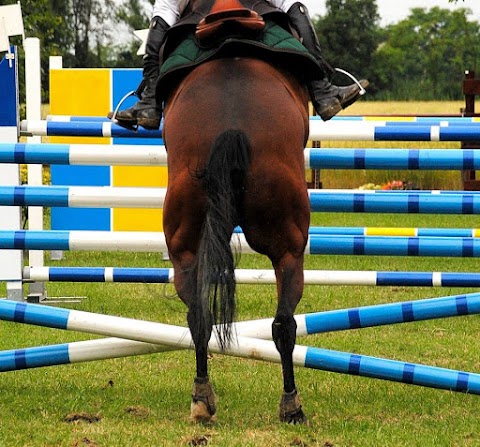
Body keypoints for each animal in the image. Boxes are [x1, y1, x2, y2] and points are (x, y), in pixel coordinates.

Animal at [161, 55, 312, 424]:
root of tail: (230, 125)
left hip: (184, 248)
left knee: (199, 317)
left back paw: (201, 398)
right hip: (290, 247)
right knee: (284, 323)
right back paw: (292, 404)